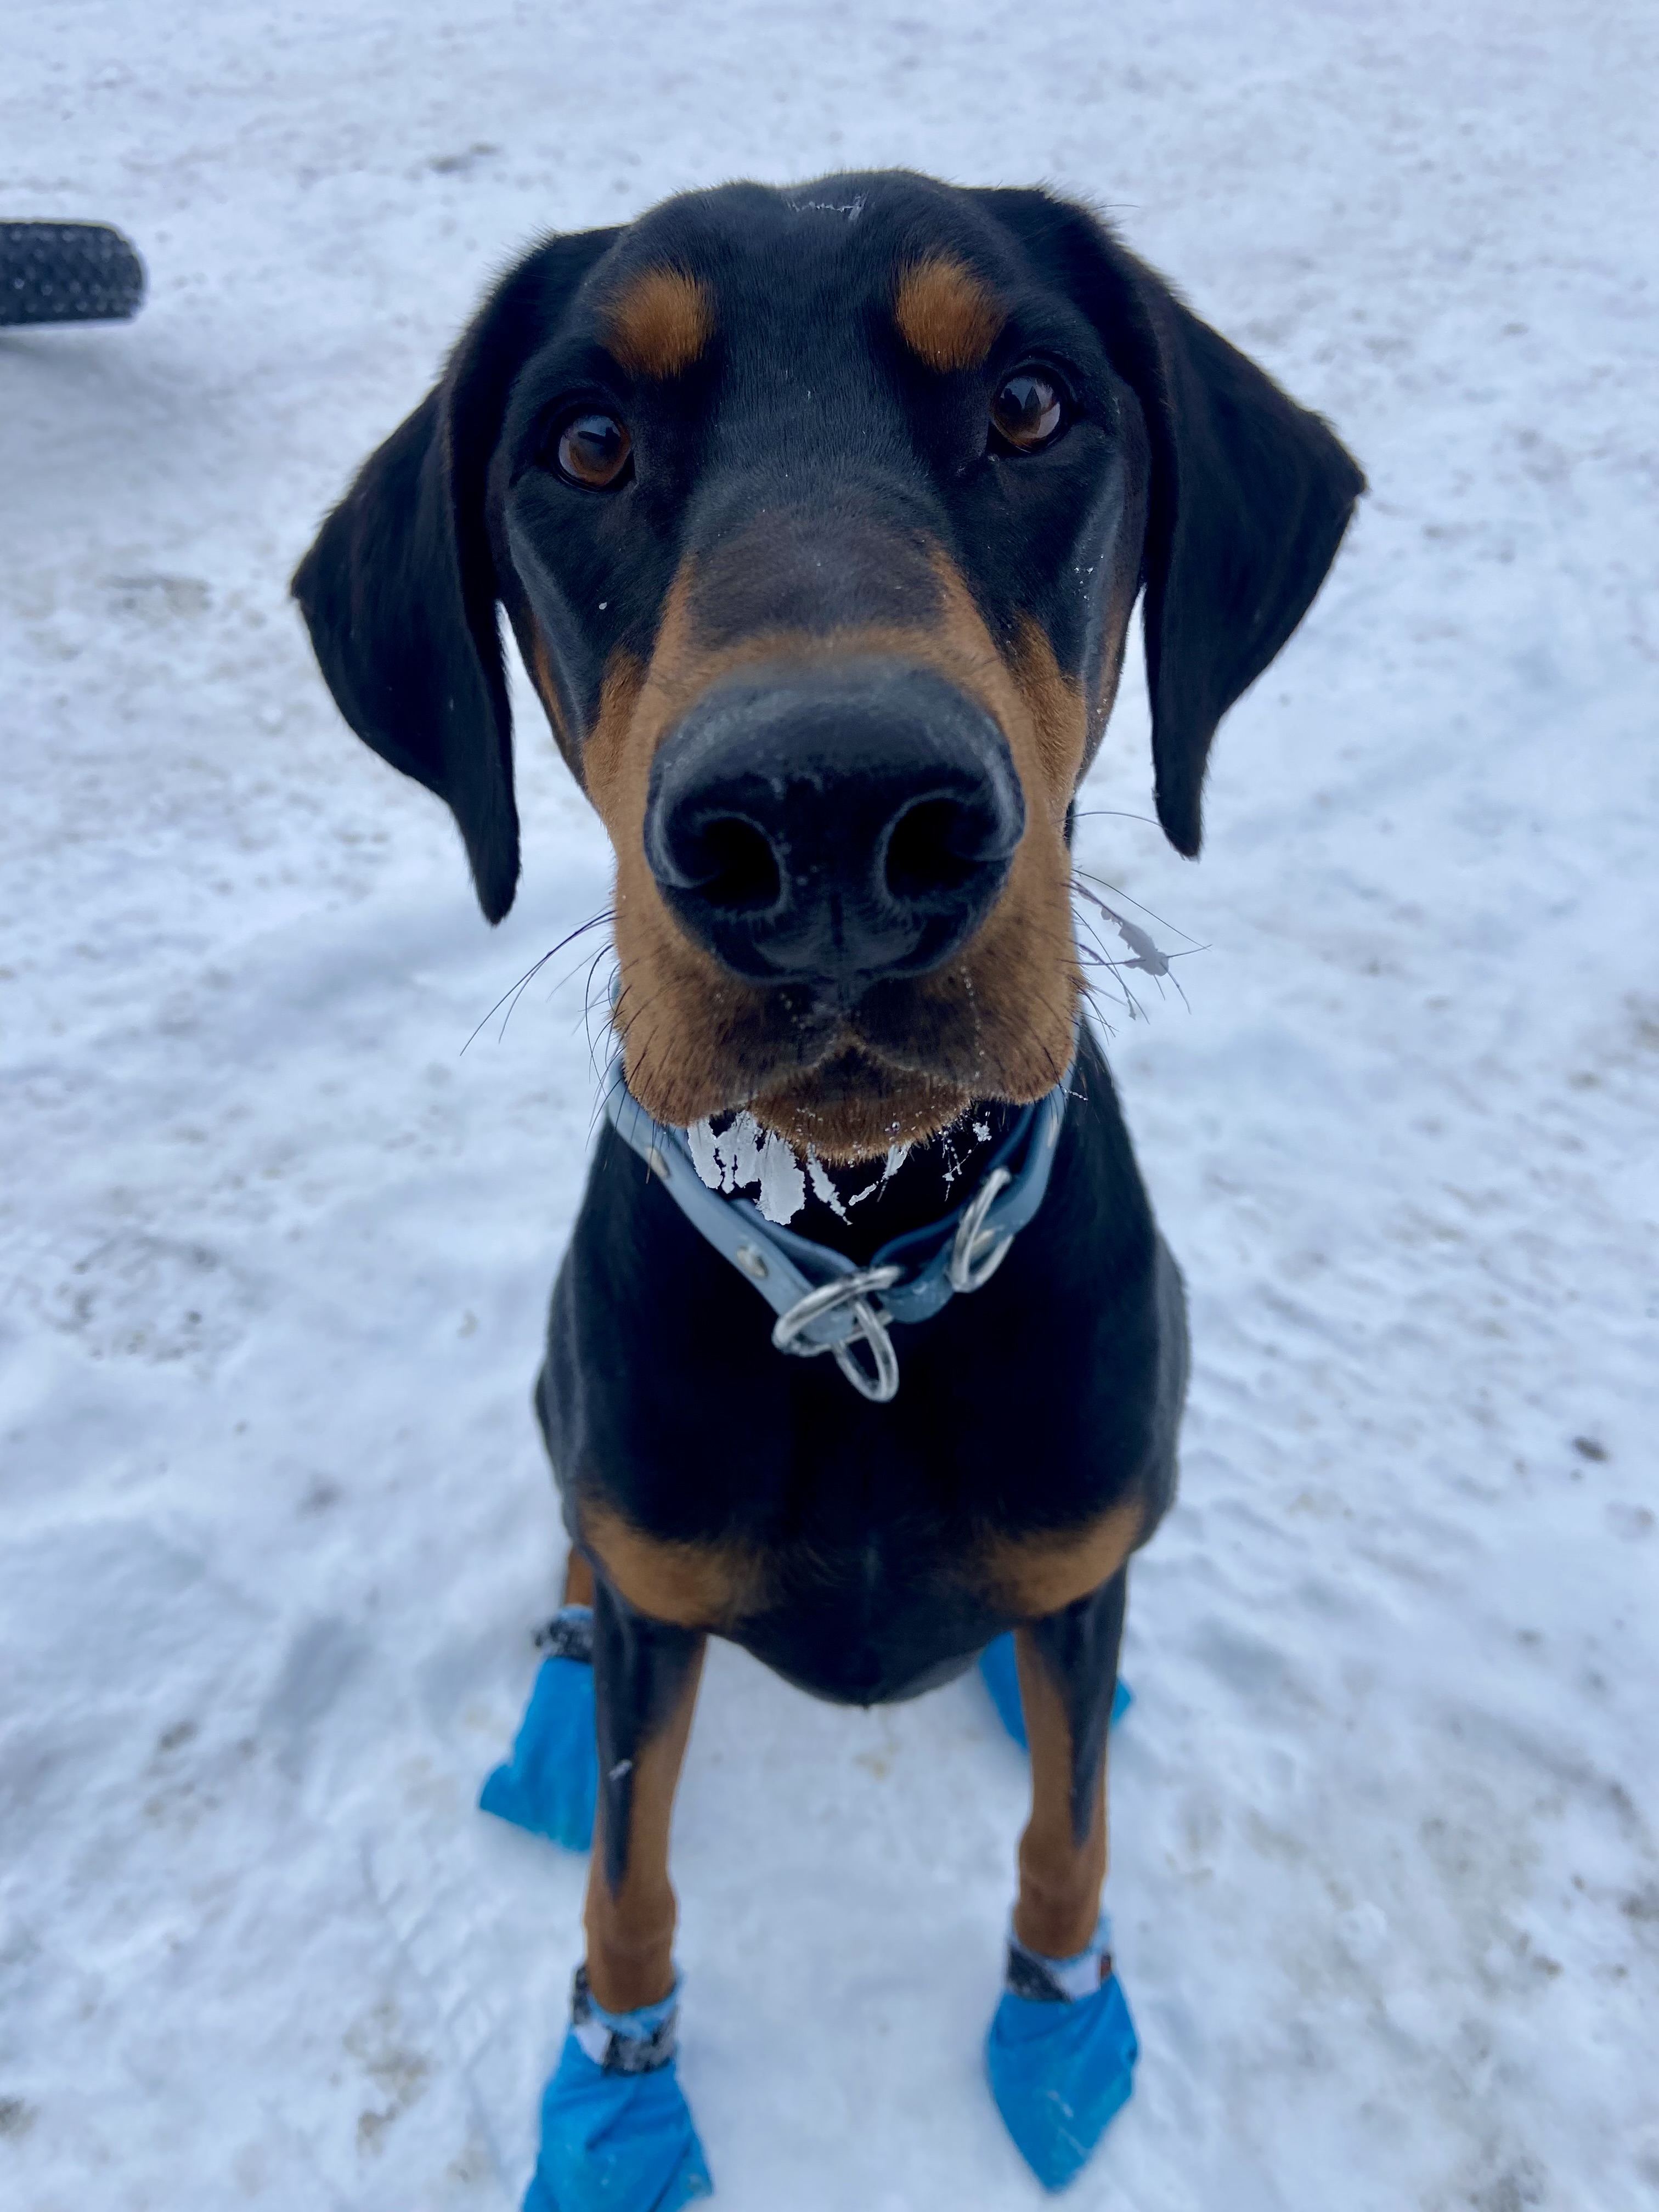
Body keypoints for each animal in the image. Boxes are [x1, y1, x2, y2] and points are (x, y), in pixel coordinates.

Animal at [294, 169, 1362, 2204]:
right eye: (586, 441)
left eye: (1029, 402)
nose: (828, 819)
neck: (861, 1270)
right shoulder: (661, 1595)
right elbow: (629, 1875)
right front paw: (618, 2092)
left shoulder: (1086, 1534)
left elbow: (1071, 1827)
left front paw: (1059, 2014)